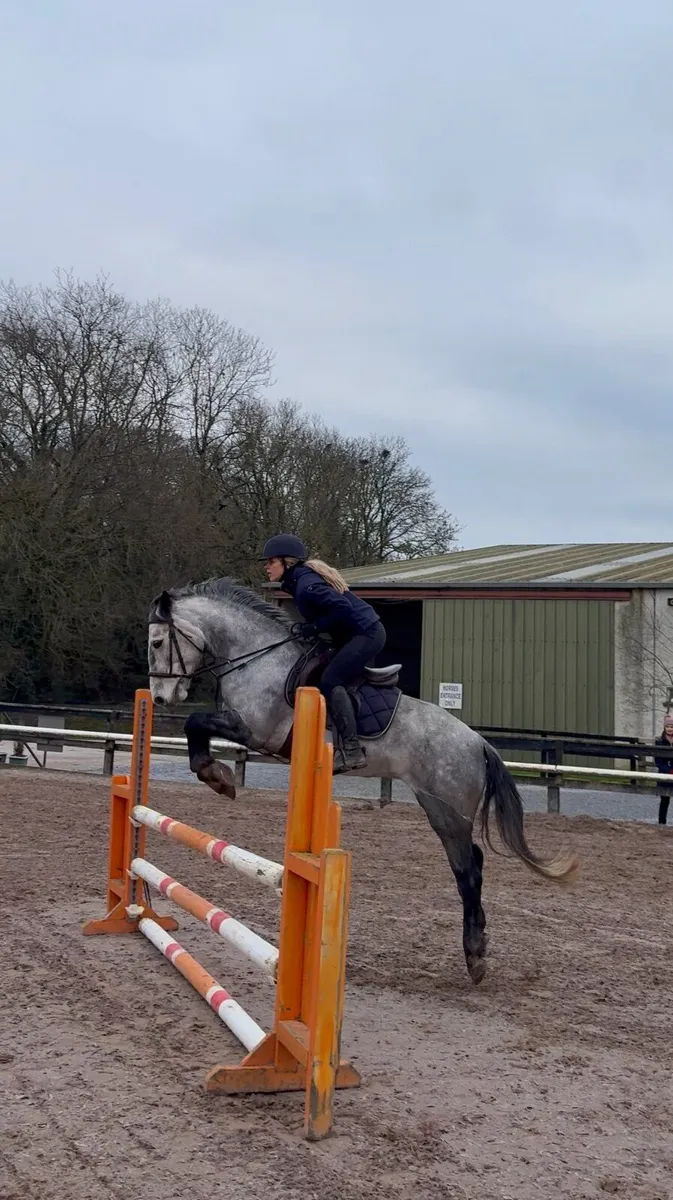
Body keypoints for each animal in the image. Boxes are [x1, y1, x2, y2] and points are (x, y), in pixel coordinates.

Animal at [147, 576, 578, 984]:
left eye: (156, 641)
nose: (161, 699)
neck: (256, 658)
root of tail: (478, 742)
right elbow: (196, 726)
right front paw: (216, 775)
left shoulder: (255, 731)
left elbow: (194, 721)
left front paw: (216, 775)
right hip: (437, 805)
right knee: (473, 863)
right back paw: (479, 943)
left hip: (447, 810)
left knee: (467, 872)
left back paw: (474, 956)